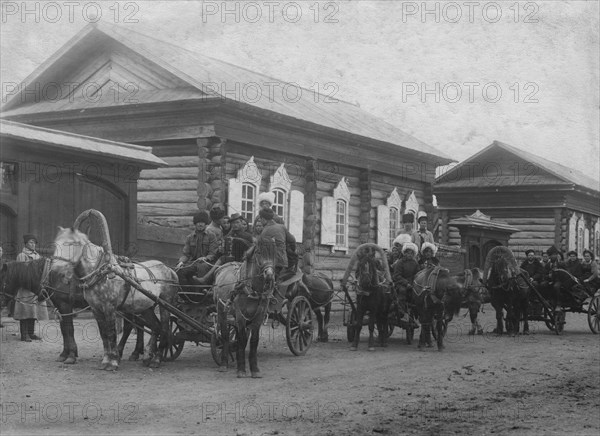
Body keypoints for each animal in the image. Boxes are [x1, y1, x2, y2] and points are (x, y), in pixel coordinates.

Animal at [49, 227, 179, 370]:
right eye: (55, 244)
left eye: (70, 244)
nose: (54, 270)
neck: (101, 273)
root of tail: (169, 269)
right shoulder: (95, 309)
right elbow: (103, 334)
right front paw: (106, 360)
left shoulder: (109, 307)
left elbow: (111, 333)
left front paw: (113, 362)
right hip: (146, 307)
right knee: (155, 327)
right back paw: (147, 356)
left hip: (165, 304)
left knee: (164, 328)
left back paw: (156, 358)